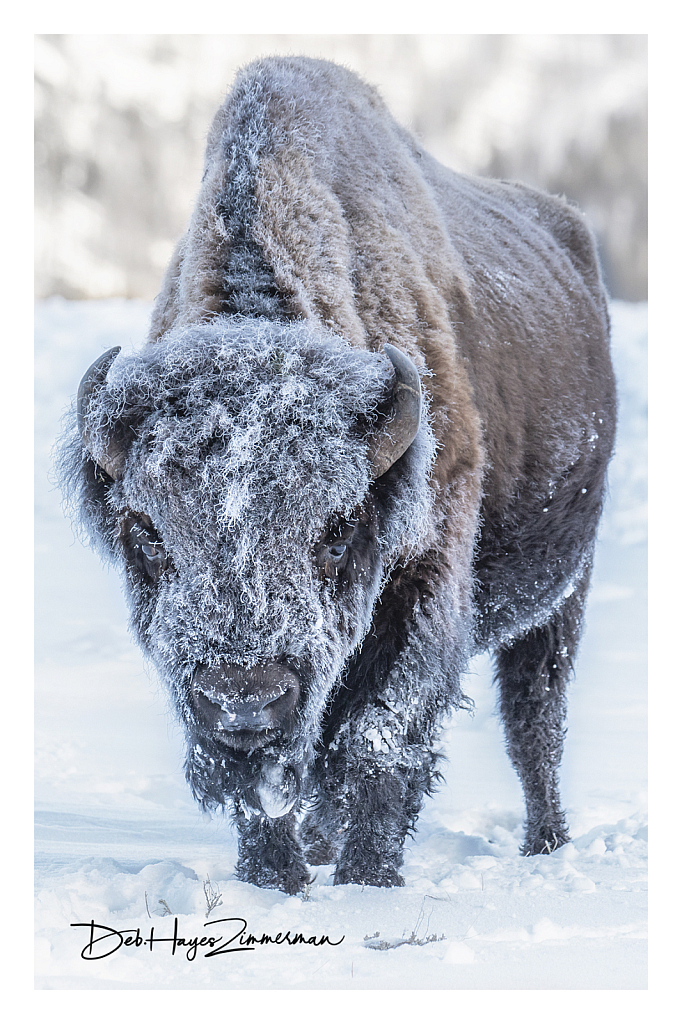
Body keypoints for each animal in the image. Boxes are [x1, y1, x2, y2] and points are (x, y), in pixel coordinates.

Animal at [58, 56, 614, 892]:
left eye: (337, 528)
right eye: (148, 533)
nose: (244, 699)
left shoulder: (423, 586)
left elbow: (376, 743)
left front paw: (368, 883)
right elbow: (278, 782)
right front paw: (276, 882)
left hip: (562, 594)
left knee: (535, 722)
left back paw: (545, 846)